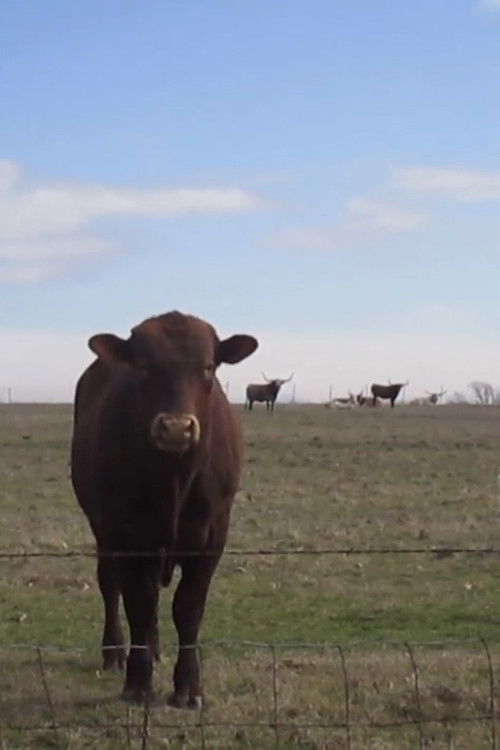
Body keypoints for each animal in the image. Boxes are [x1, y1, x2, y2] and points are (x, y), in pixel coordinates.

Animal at [71, 311, 258, 706]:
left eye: (208, 367)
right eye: (142, 366)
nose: (175, 427)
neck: (174, 479)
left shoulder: (212, 537)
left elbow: (187, 608)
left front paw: (188, 686)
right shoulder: (126, 534)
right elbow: (138, 605)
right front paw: (138, 683)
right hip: (103, 530)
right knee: (111, 585)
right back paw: (116, 652)